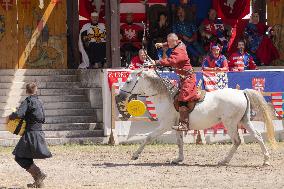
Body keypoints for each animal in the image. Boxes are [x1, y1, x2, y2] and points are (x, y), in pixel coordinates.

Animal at [117, 69, 276, 165]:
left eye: (128, 81)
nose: (119, 96)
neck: (165, 96)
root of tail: (241, 92)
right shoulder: (177, 126)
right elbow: (179, 142)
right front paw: (179, 159)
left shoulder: (165, 125)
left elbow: (148, 137)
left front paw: (135, 155)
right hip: (245, 121)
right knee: (257, 136)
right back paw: (266, 160)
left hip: (230, 123)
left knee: (237, 141)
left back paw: (224, 161)